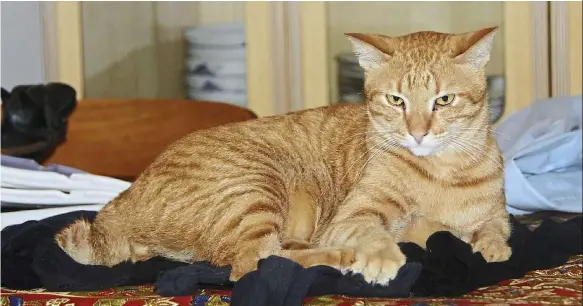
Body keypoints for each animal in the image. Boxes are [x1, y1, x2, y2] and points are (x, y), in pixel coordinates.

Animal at [54, 26, 512, 284]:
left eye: (444, 100)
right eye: (396, 100)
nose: (417, 133)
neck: (443, 172)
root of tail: (119, 203)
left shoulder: (496, 215)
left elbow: (492, 230)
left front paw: (490, 247)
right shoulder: (353, 217)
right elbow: (392, 231)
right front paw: (383, 256)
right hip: (254, 187)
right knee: (251, 264)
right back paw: (340, 258)